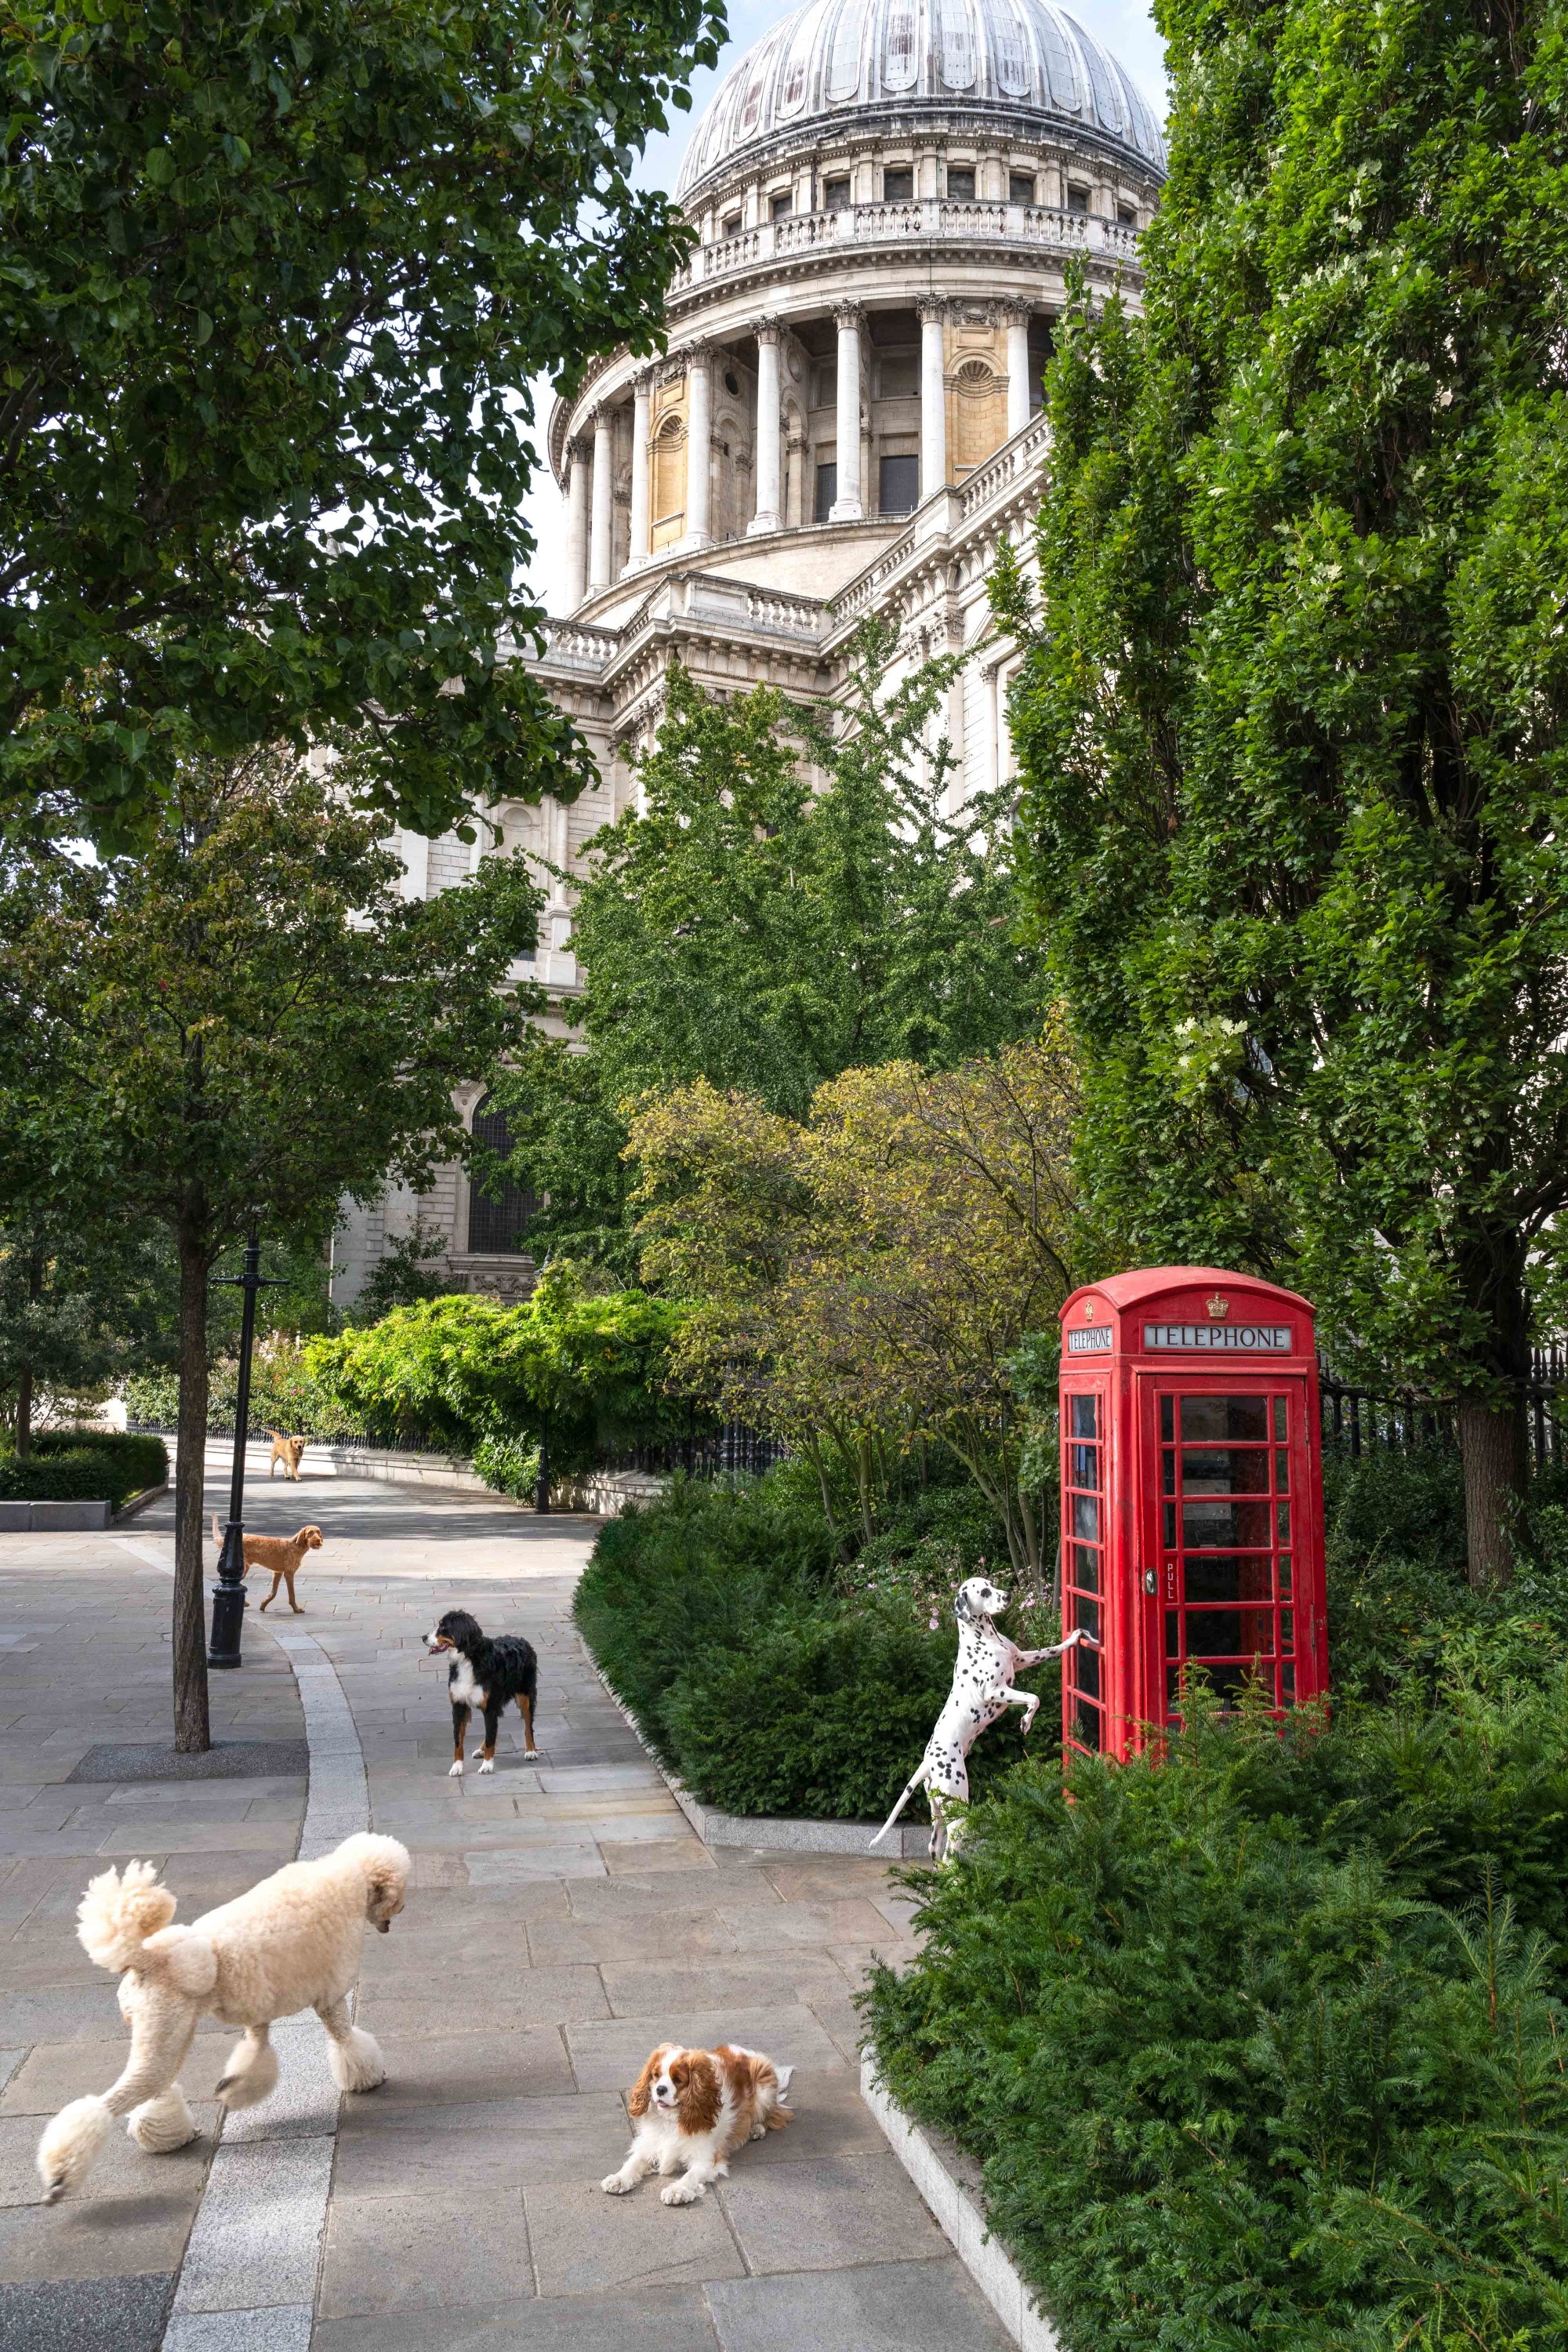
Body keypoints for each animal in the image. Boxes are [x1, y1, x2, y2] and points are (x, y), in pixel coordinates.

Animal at [423, 1609, 540, 1769]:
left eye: (443, 1627)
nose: (423, 1637)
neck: (467, 1659)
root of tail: (523, 1640)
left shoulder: (490, 1706)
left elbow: (491, 1737)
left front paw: (487, 1766)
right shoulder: (459, 1704)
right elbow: (458, 1741)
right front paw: (457, 1767)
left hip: (525, 1696)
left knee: (528, 1726)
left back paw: (530, 1751)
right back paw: (480, 1750)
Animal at [869, 1571, 1091, 1863]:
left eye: (992, 1584)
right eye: (984, 1592)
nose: (1008, 1595)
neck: (985, 1638)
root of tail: (928, 1762)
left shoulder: (1022, 1658)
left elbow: (1051, 1650)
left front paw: (1073, 1639)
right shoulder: (996, 1691)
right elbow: (1034, 1698)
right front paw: (1026, 1721)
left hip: (938, 1814)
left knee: (935, 1850)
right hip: (957, 1806)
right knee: (950, 1853)